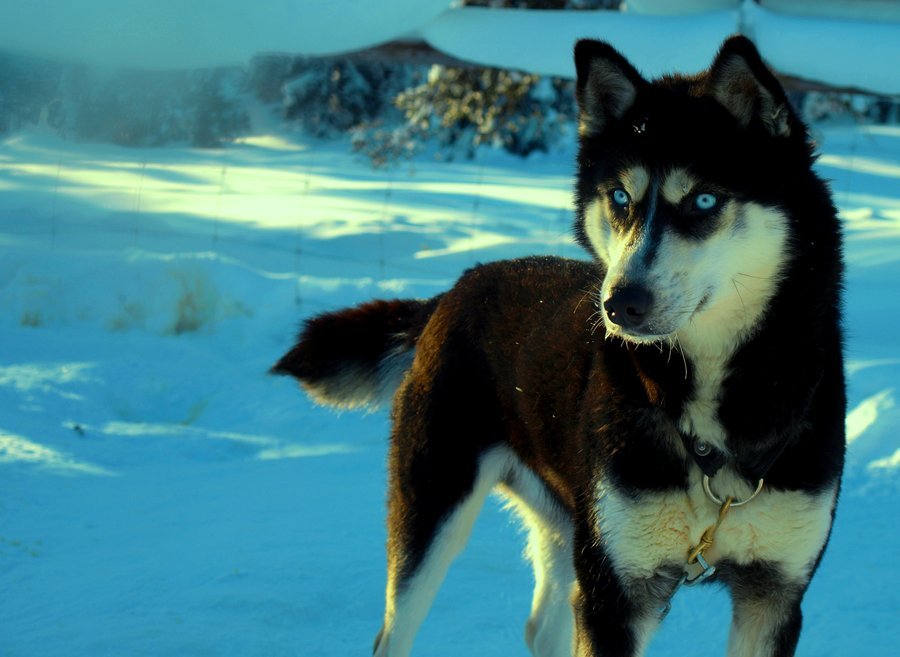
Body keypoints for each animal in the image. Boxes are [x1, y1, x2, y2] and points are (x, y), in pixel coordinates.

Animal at [274, 37, 844, 656]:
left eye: (704, 201)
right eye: (619, 195)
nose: (620, 304)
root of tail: (455, 290)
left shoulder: (773, 595)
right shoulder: (615, 594)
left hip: (567, 528)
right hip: (435, 513)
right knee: (395, 630)